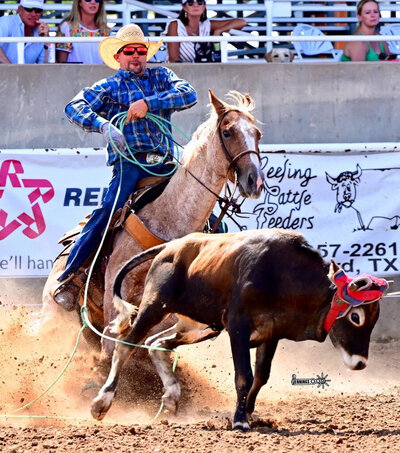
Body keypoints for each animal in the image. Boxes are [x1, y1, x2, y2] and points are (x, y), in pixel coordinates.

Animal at [40, 90, 266, 354]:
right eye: (228, 132)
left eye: (257, 134)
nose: (255, 181)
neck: (170, 216)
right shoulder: (117, 286)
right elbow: (112, 341)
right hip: (53, 311)